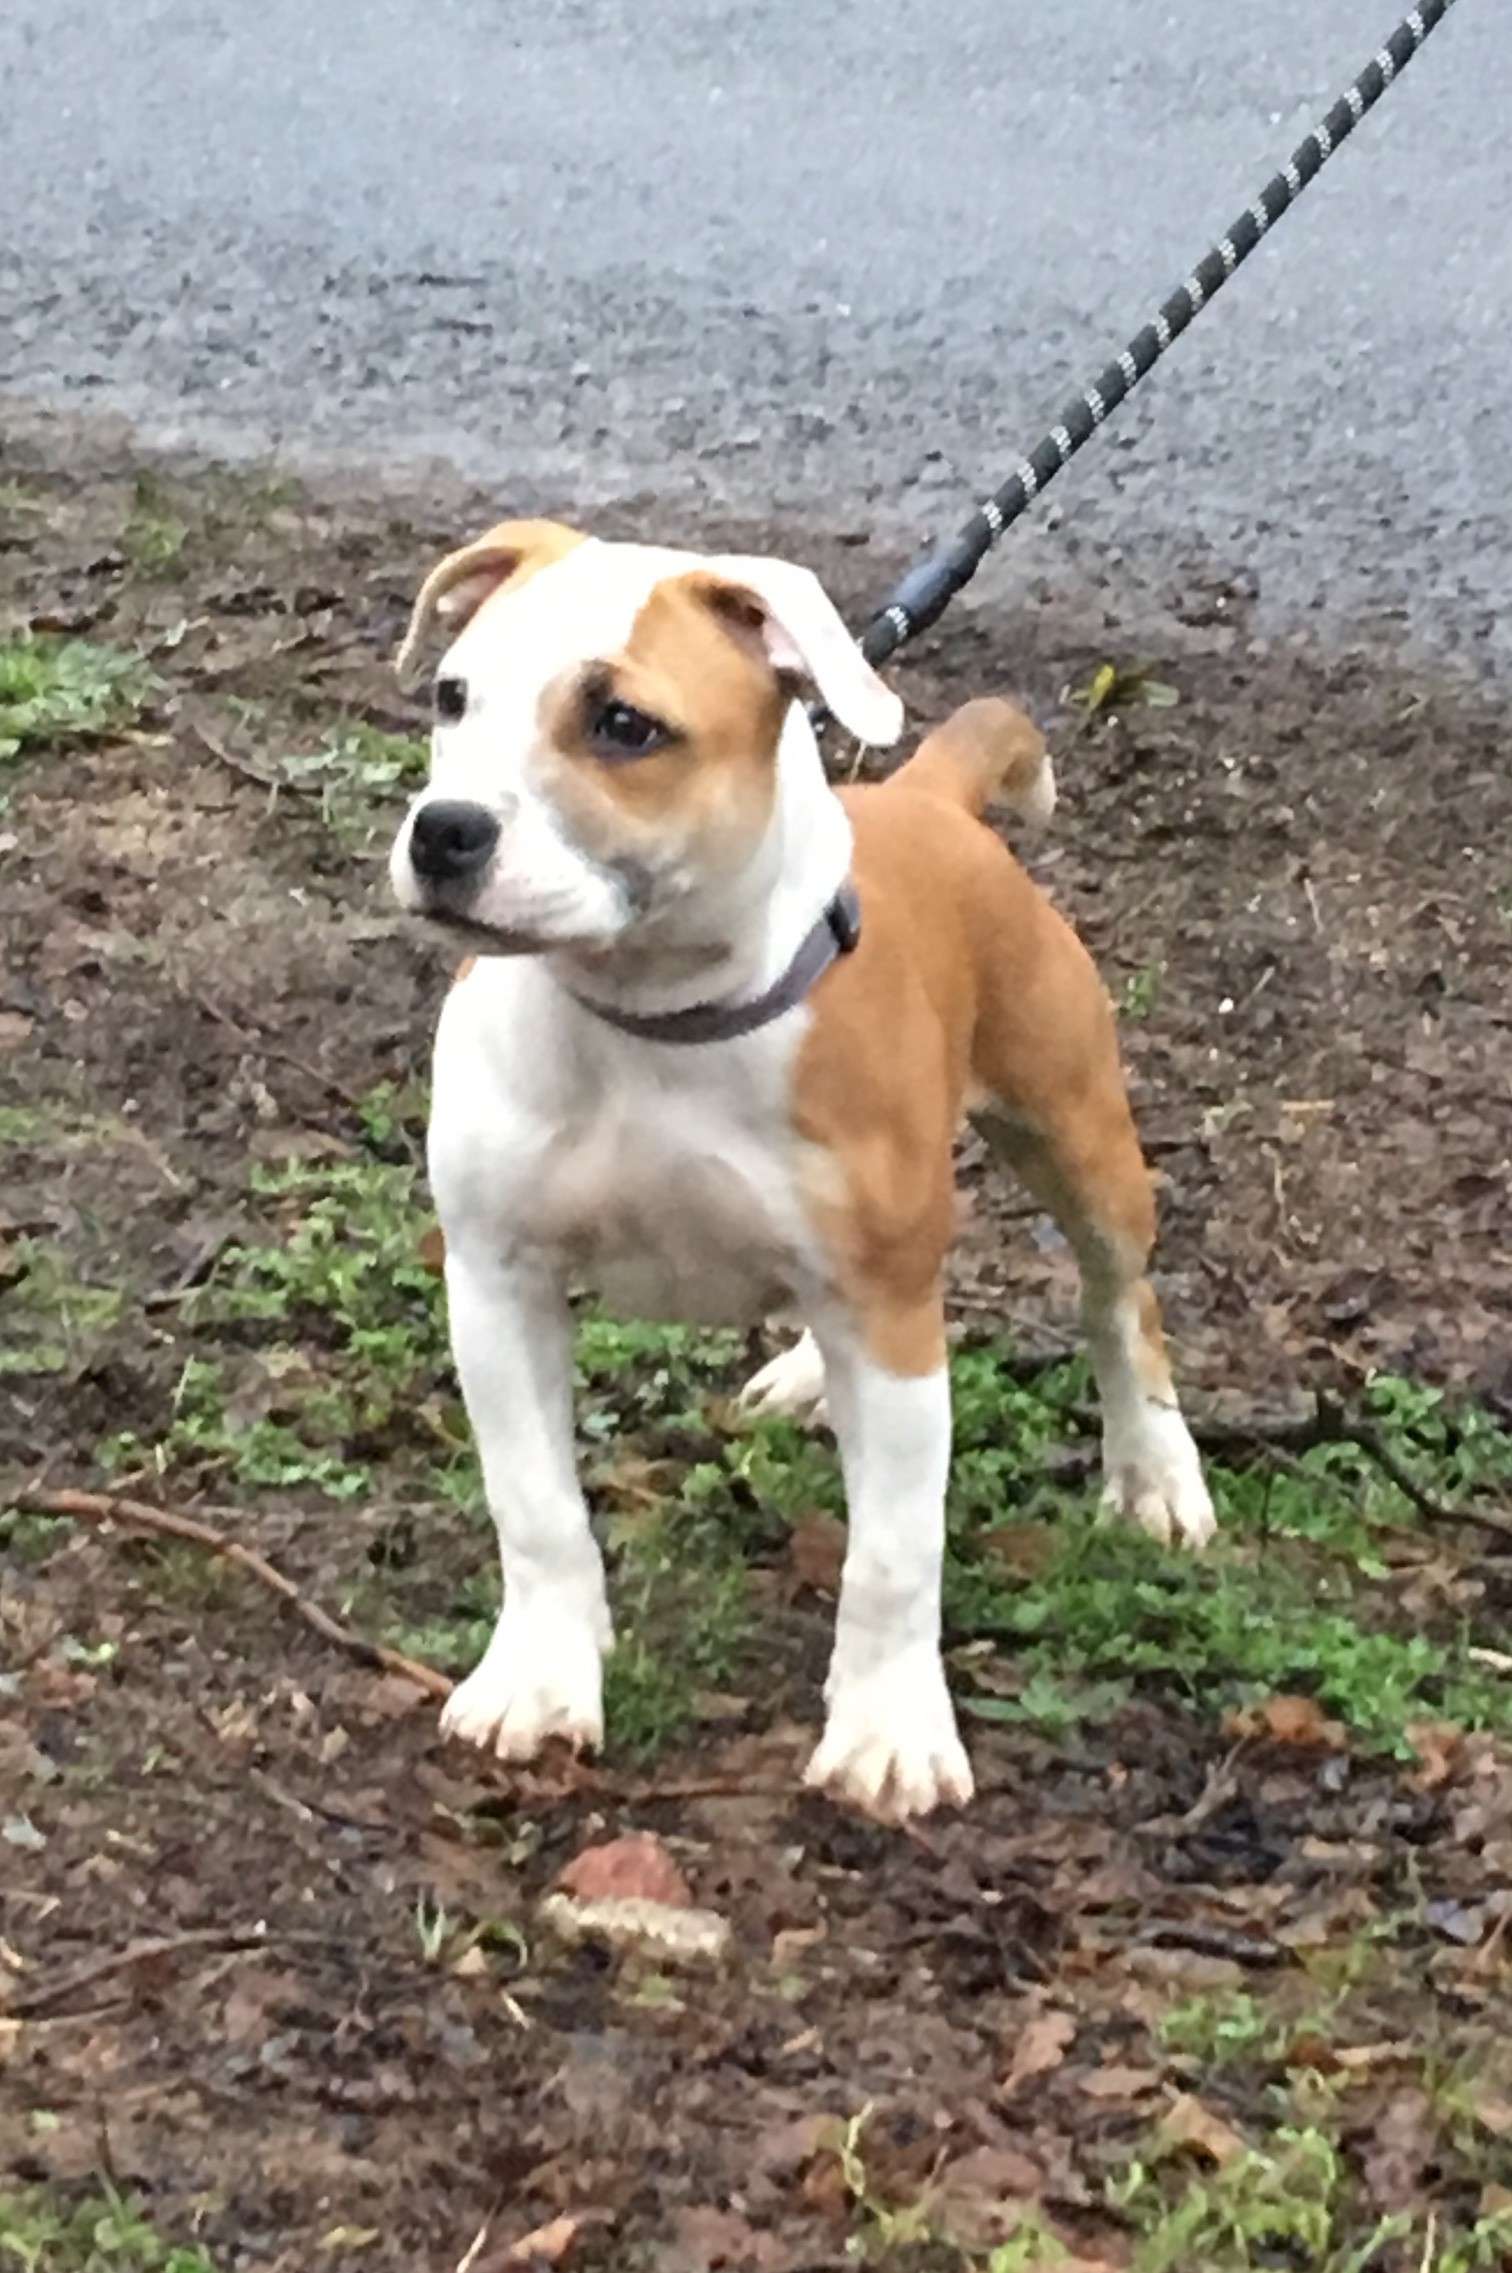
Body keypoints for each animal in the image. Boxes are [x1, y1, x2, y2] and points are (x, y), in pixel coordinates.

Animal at [388, 518, 1214, 1822]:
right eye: (451, 696)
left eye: (623, 724)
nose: (444, 829)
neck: (653, 1017)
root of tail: (928, 799)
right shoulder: (497, 1281)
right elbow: (537, 1506)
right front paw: (540, 1678)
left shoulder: (891, 1308)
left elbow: (894, 1552)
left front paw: (888, 1732)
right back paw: (809, 1379)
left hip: (1078, 1138)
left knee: (1118, 1302)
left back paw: (1156, 1473)